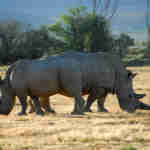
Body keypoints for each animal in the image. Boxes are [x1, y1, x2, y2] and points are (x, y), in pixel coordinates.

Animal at [0, 51, 150, 115]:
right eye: (130, 96)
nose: (133, 110)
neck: (120, 75)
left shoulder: (105, 85)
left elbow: (100, 99)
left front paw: (102, 111)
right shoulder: (100, 85)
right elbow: (93, 98)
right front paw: (88, 110)